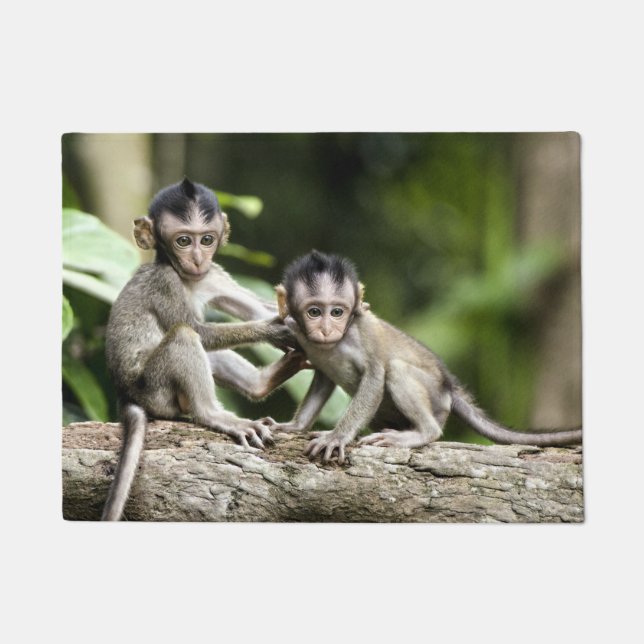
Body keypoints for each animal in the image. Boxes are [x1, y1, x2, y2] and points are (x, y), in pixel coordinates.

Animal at [101, 178, 306, 520]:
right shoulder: (165, 282)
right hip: (154, 389)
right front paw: (275, 329)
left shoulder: (213, 274)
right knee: (185, 336)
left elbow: (255, 308)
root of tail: (125, 394)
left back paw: (263, 382)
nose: (197, 259)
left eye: (206, 239)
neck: (187, 279)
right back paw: (214, 414)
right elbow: (198, 330)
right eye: (183, 241)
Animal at [271, 250, 582, 465]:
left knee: (397, 370)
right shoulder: (300, 334)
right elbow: (322, 379)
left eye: (337, 312)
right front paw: (295, 426)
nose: (326, 329)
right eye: (314, 312)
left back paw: (422, 433)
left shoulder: (363, 331)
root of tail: (449, 387)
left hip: (435, 399)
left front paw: (337, 436)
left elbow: (375, 375)